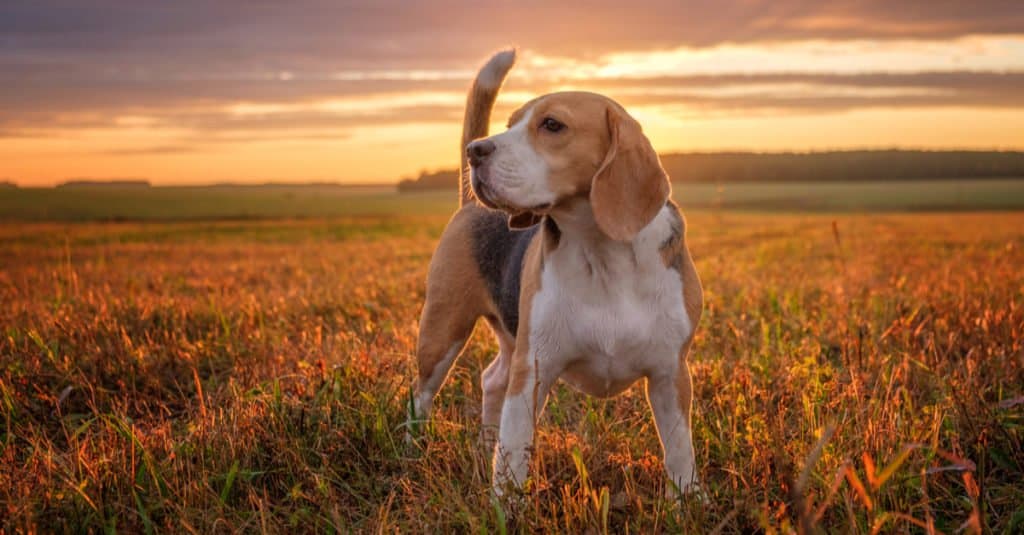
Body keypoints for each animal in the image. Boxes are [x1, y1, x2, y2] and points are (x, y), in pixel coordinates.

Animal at [409, 49, 704, 496]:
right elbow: (514, 454)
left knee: (492, 379)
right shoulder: (534, 370)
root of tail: (470, 204)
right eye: (510, 124)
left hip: (509, 337)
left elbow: (680, 452)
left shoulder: (671, 374)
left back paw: (483, 446)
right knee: (422, 396)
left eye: (552, 125)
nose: (476, 151)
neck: (601, 253)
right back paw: (410, 450)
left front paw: (688, 501)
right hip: (443, 329)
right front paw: (505, 506)